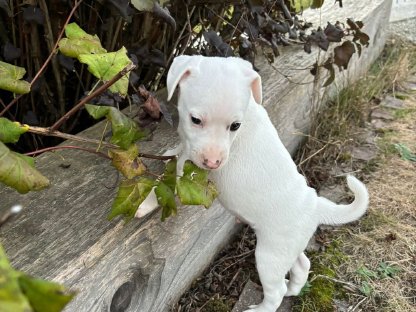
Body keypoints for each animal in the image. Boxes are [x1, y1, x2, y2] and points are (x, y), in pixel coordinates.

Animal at [136, 55, 368, 312]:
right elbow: (176, 152)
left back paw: (261, 308)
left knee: (276, 292)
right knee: (302, 265)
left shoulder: (190, 165)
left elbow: (168, 178)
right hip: (287, 249)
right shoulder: (189, 147)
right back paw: (294, 289)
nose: (213, 163)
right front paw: (168, 152)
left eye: (235, 125)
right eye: (195, 120)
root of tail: (316, 204)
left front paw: (145, 204)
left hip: (269, 257)